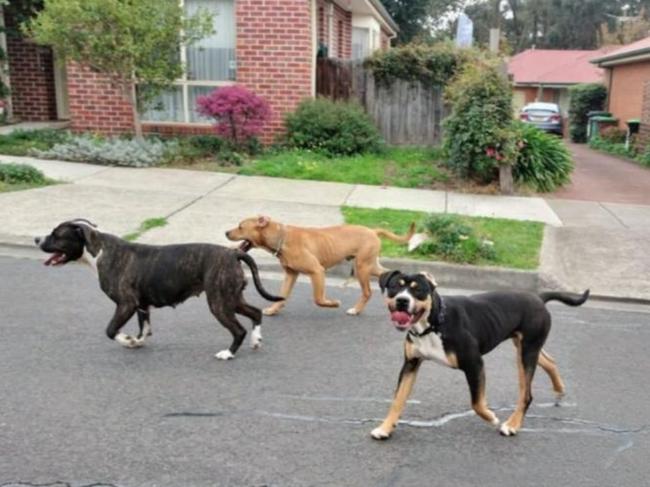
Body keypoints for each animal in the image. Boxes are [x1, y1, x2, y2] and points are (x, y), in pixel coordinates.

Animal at [35, 219, 282, 360]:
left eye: (57, 234)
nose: (36, 239)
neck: (100, 250)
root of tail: (233, 253)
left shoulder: (125, 304)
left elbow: (111, 330)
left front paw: (126, 340)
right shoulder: (141, 305)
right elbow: (144, 327)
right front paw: (137, 341)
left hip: (219, 303)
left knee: (238, 329)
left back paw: (228, 353)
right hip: (231, 298)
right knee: (255, 313)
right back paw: (256, 340)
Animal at [225, 217, 412, 316]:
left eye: (240, 226)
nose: (226, 232)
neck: (282, 238)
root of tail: (373, 231)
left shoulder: (317, 271)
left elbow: (318, 299)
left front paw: (333, 303)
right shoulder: (291, 274)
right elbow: (281, 295)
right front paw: (273, 310)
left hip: (362, 267)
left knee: (367, 292)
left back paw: (356, 310)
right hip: (370, 265)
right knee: (390, 274)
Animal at [370, 272, 588, 440]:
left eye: (418, 290)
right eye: (394, 287)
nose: (402, 300)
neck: (434, 324)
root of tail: (538, 298)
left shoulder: (474, 364)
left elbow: (476, 403)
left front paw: (491, 417)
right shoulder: (410, 364)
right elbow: (397, 400)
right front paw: (385, 428)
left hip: (527, 352)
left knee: (526, 394)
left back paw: (512, 425)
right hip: (526, 347)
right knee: (550, 362)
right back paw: (559, 390)